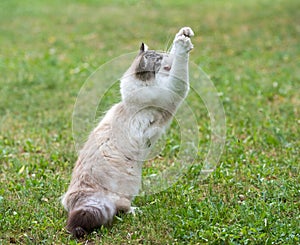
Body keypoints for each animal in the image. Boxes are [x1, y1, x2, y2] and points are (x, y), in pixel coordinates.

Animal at [61, 26, 195, 237]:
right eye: (159, 59)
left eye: (163, 54)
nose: (167, 58)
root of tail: (76, 201)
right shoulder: (173, 90)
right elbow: (181, 70)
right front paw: (183, 44)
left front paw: (183, 35)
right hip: (126, 189)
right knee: (120, 209)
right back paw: (136, 211)